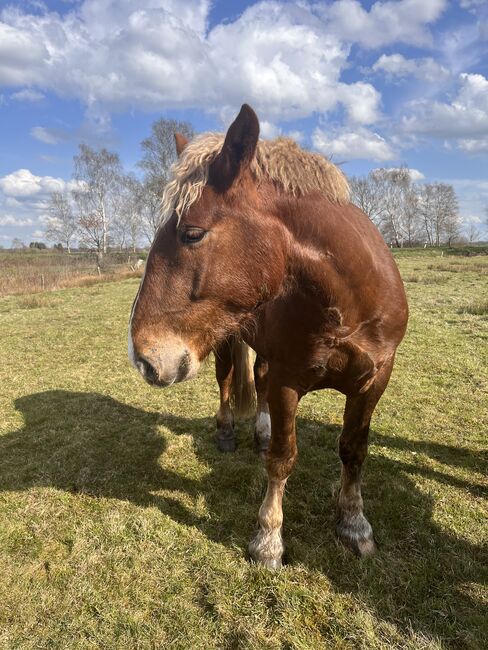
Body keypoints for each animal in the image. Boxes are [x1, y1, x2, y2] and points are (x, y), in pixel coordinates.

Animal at [129, 104, 408, 564]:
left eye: (192, 233)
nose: (144, 358)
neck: (347, 306)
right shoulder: (287, 381)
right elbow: (282, 458)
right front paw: (268, 539)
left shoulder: (374, 381)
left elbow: (353, 451)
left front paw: (354, 524)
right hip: (226, 342)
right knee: (227, 381)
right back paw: (228, 433)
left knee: (256, 381)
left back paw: (258, 433)